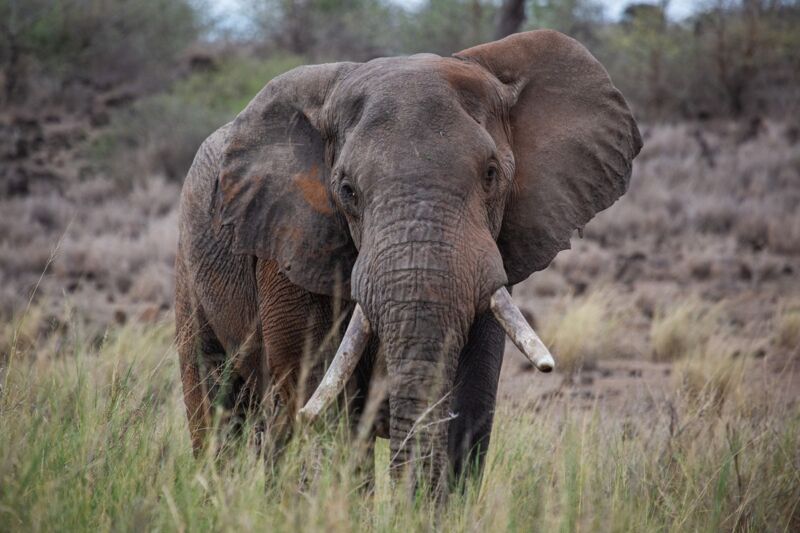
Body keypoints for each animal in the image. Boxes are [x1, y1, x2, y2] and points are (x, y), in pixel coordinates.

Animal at [173, 29, 636, 492]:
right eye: (347, 190)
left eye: (491, 175)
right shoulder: (290, 238)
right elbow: (317, 394)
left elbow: (470, 401)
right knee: (217, 407)